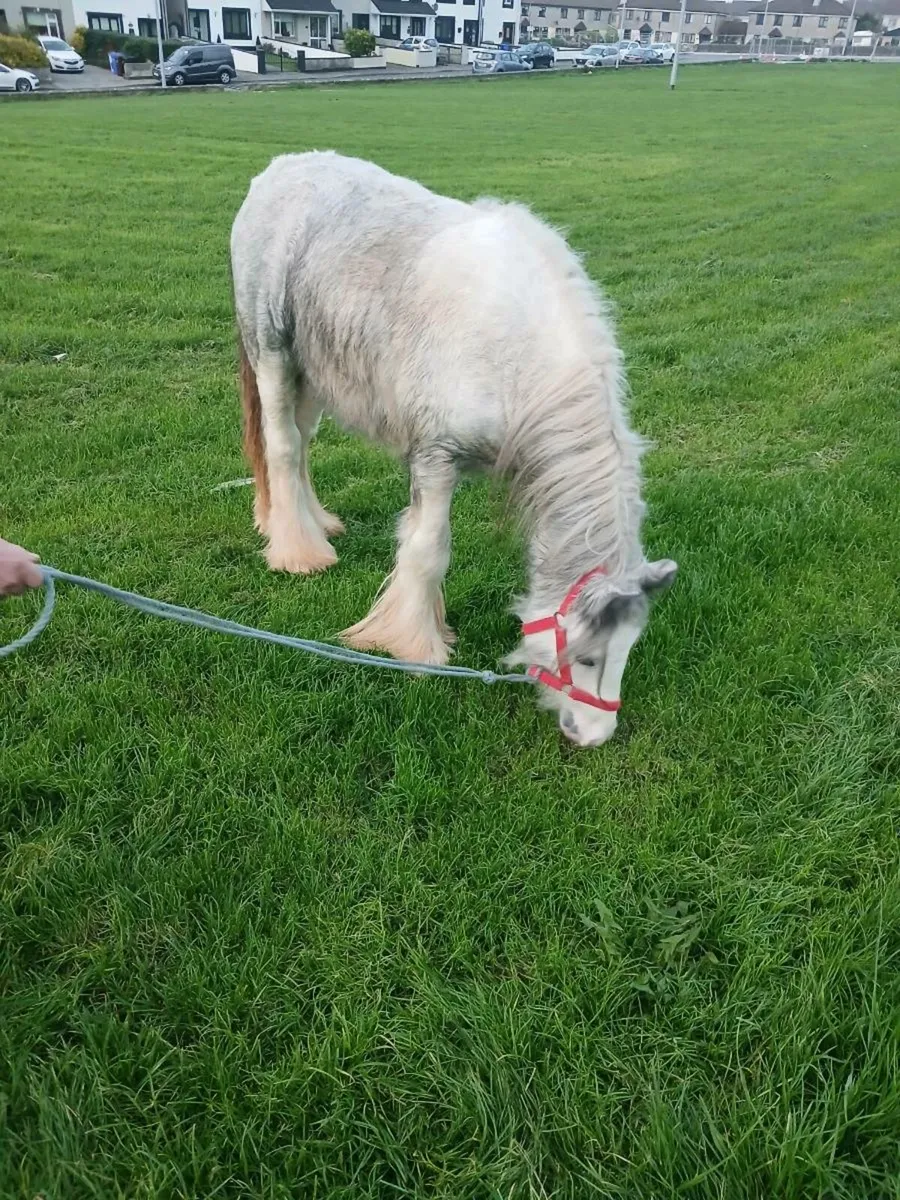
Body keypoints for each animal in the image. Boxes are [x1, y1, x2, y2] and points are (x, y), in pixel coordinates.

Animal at [231, 152, 676, 746]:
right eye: (585, 658)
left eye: (627, 651)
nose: (594, 736)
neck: (513, 360)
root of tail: (277, 170)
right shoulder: (435, 457)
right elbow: (427, 551)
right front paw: (415, 648)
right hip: (275, 356)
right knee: (281, 447)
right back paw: (299, 554)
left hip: (312, 372)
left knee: (301, 447)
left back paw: (314, 526)